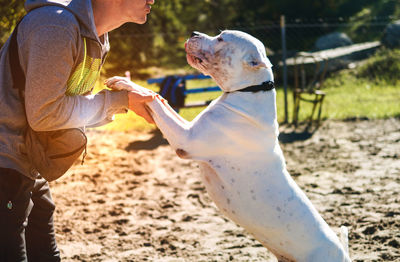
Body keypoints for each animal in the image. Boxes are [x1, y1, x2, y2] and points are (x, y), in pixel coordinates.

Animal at [106, 29, 350, 260]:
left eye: (222, 39)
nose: (194, 33)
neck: (250, 90)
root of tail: (343, 254)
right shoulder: (187, 126)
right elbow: (159, 99)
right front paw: (126, 83)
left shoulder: (185, 138)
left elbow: (155, 101)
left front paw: (126, 83)